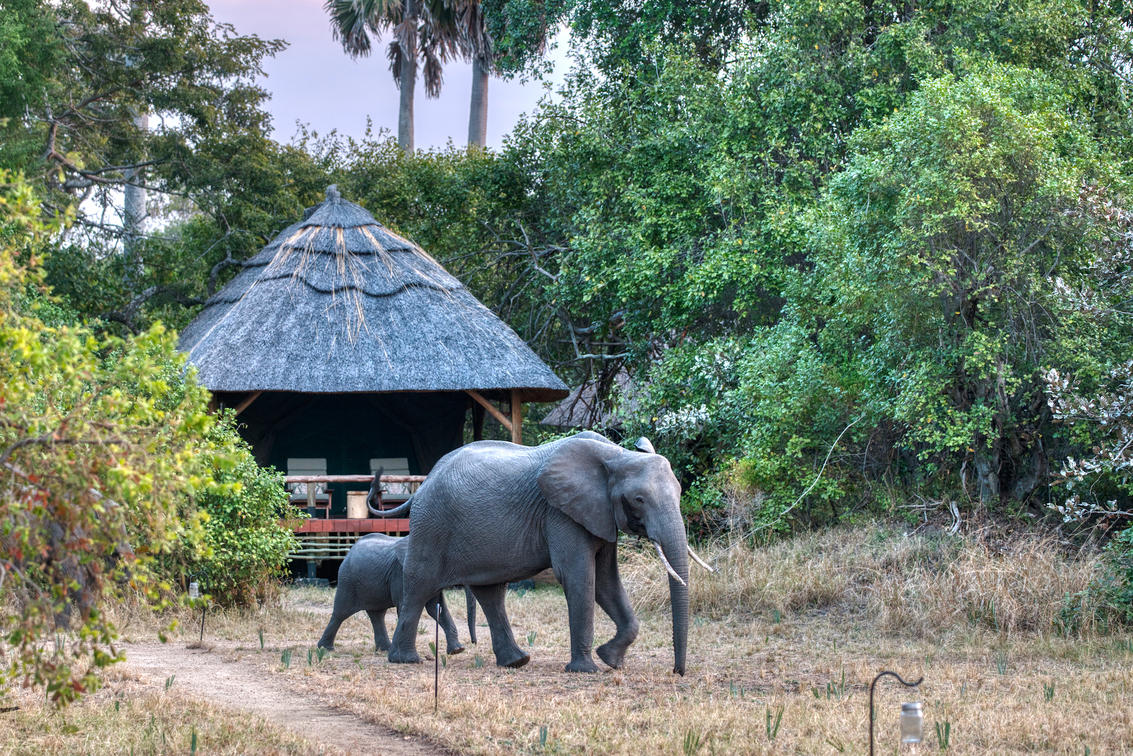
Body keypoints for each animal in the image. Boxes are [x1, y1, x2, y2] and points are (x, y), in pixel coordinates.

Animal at [314, 532, 464, 657]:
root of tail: (350, 550)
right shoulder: (401, 573)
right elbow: (406, 606)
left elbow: (436, 608)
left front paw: (457, 650)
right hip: (347, 581)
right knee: (341, 613)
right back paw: (325, 648)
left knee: (377, 615)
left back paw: (384, 649)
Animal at [376, 430, 702, 675]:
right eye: (639, 499)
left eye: (679, 492)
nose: (677, 672)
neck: (616, 454)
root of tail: (423, 484)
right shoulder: (560, 512)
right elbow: (579, 576)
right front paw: (587, 670)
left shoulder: (599, 514)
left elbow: (607, 582)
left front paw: (611, 659)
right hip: (431, 524)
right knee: (420, 584)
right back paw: (405, 660)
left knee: (489, 592)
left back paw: (516, 662)